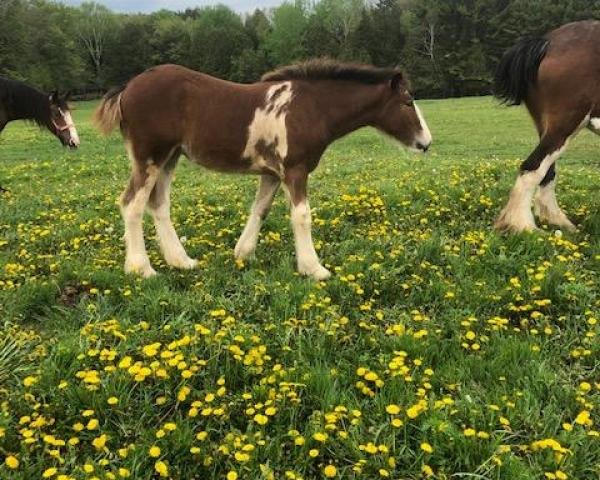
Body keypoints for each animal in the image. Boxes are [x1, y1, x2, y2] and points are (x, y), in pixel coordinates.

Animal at [94, 60, 432, 280]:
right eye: (407, 101)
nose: (426, 142)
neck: (310, 107)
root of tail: (128, 88)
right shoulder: (295, 169)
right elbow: (302, 216)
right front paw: (314, 268)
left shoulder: (272, 173)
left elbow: (260, 209)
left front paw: (243, 253)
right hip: (151, 156)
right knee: (132, 204)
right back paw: (142, 269)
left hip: (170, 157)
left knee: (158, 204)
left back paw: (181, 262)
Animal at [494, 19, 596, 233]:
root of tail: (546, 43)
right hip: (565, 126)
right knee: (532, 167)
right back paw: (524, 227)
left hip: (547, 128)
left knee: (546, 172)